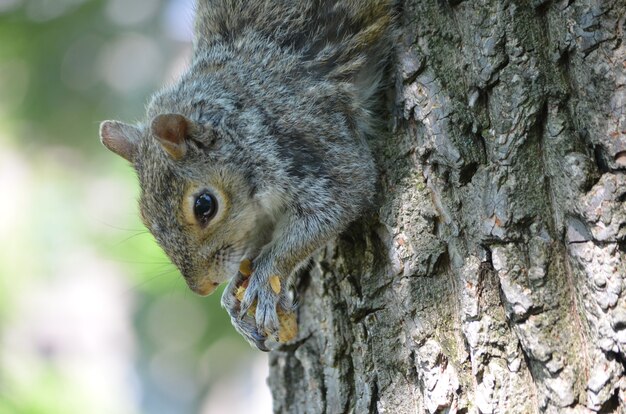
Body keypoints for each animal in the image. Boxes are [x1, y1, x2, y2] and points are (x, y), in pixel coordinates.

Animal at [98, 0, 390, 350]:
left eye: (205, 206)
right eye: (144, 216)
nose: (202, 288)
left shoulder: (311, 136)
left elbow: (341, 197)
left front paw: (265, 276)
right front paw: (234, 290)